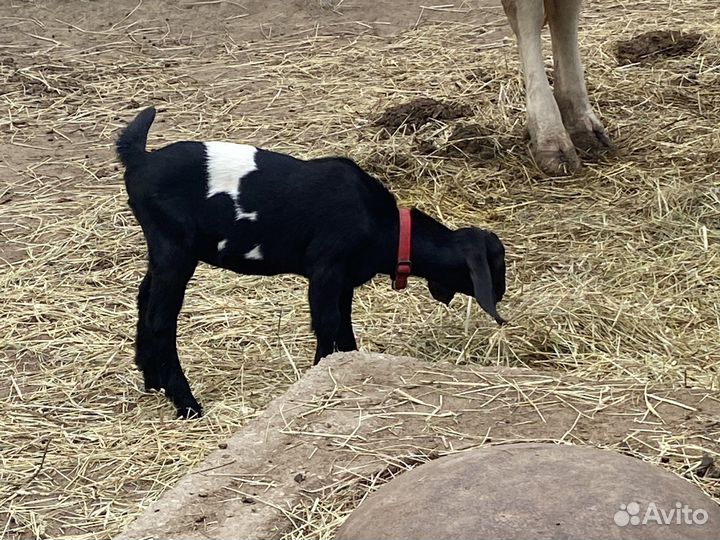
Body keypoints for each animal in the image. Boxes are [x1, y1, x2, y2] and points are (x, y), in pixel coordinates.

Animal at [116, 107, 507, 418]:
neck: (382, 224)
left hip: (163, 251)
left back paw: (152, 379)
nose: (500, 295)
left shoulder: (345, 279)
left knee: (144, 299)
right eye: (495, 267)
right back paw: (186, 404)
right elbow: (327, 323)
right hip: (175, 248)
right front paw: (320, 374)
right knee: (160, 319)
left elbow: (345, 328)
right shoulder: (326, 270)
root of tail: (140, 160)